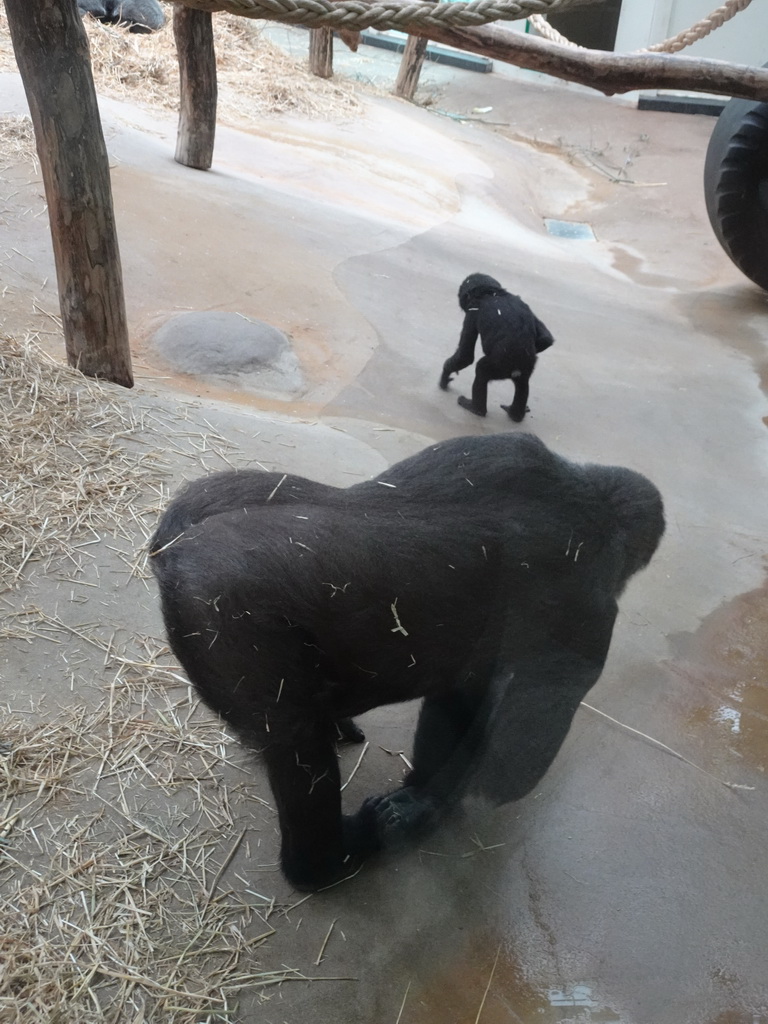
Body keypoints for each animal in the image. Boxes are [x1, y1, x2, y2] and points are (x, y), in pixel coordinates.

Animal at [150, 436, 667, 892]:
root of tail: (169, 553)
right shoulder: (588, 612)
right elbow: (510, 764)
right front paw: (427, 805)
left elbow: (461, 701)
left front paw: (421, 799)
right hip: (223, 611)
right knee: (297, 746)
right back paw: (325, 862)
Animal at [442, 274, 557, 421]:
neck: (492, 293)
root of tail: (515, 369)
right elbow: (546, 338)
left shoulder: (472, 312)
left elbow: (465, 355)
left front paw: (445, 375)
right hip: (525, 368)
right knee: (523, 385)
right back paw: (515, 413)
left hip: (498, 367)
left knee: (481, 369)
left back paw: (476, 408)